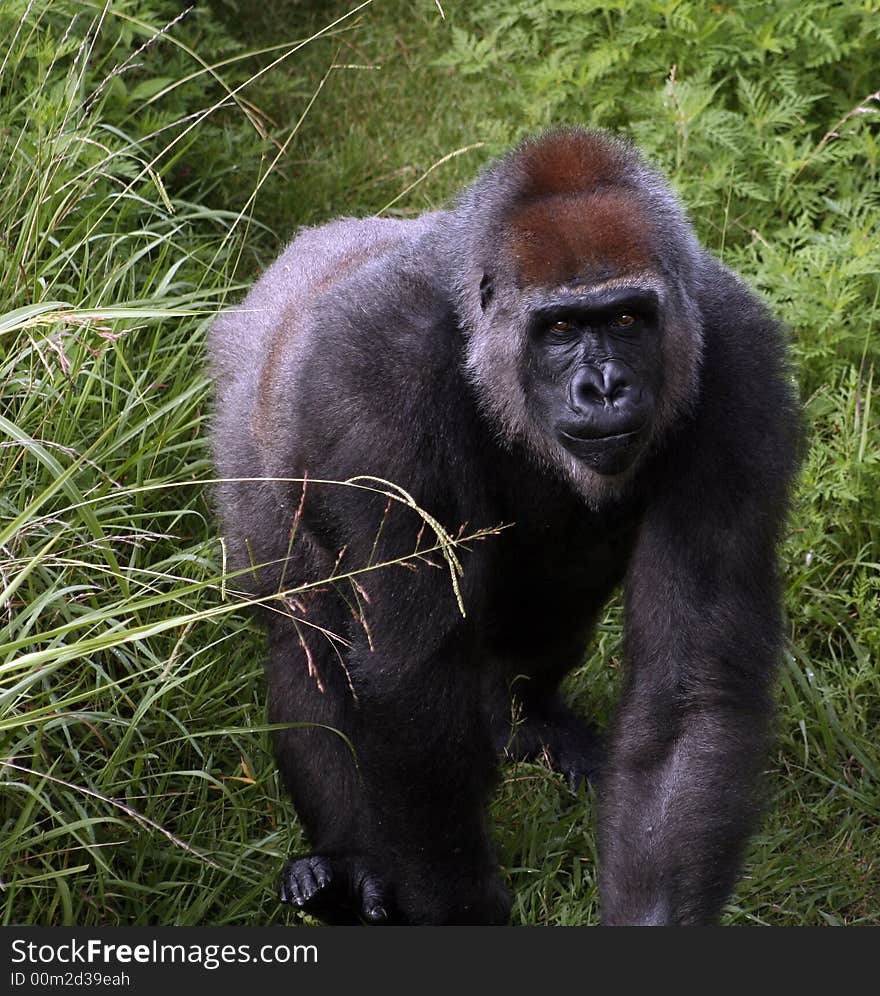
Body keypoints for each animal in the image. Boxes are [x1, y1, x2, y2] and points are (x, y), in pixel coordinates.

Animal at [210, 130, 800, 924]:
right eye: (560, 328)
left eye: (626, 319)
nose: (604, 387)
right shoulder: (375, 382)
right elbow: (409, 681)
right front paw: (460, 908)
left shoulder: (740, 369)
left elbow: (688, 688)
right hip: (246, 432)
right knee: (308, 636)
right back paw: (342, 865)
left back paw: (523, 718)